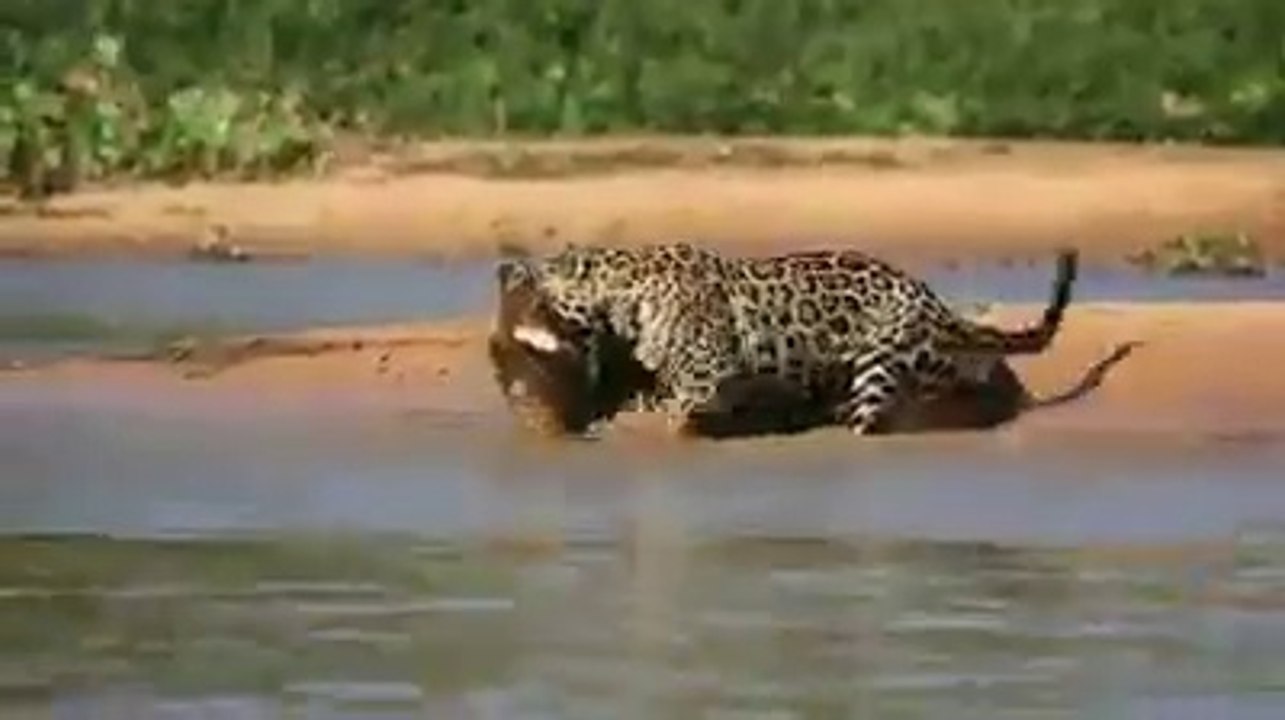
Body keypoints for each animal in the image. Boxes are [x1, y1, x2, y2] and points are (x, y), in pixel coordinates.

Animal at [498, 240, 1079, 436]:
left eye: (536, 276)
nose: (505, 268)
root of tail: (927, 296)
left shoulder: (707, 374)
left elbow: (674, 407)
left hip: (880, 364)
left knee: (874, 419)